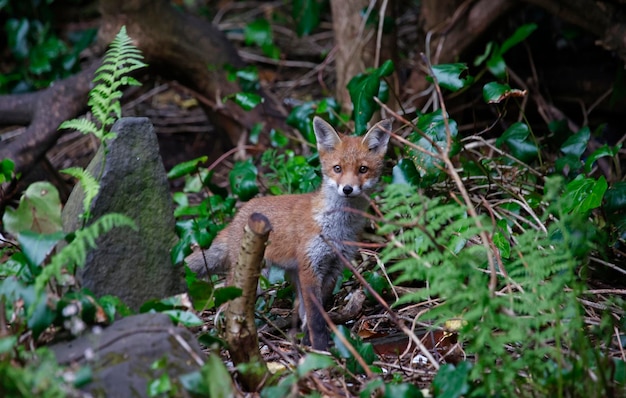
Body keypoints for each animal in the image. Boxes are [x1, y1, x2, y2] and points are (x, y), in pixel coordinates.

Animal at [185, 116, 390, 348]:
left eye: (363, 169)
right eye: (337, 168)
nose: (347, 189)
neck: (337, 228)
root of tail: (237, 216)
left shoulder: (334, 267)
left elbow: (314, 311)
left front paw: (309, 341)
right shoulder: (310, 266)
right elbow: (315, 315)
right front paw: (320, 347)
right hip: (252, 277)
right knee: (225, 305)